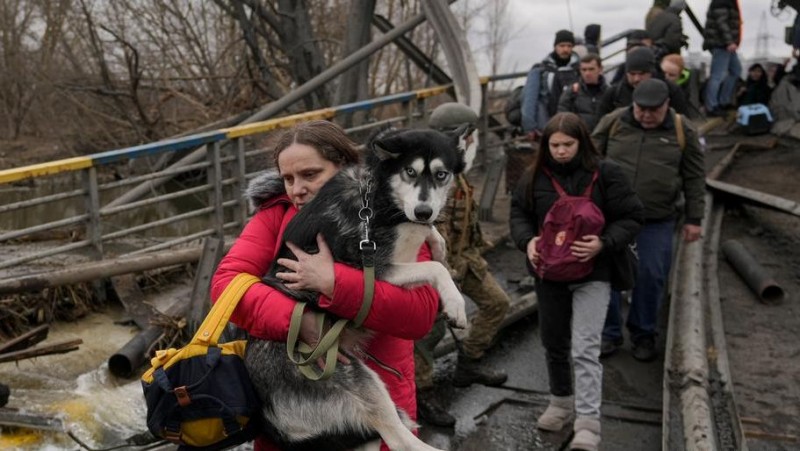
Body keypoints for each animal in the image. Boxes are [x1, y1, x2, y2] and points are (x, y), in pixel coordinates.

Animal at [244, 127, 468, 451]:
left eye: (442, 175)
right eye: (410, 171)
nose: (424, 211)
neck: (379, 195)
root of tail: (269, 418)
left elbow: (432, 248)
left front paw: (438, 244)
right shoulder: (376, 269)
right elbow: (434, 268)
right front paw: (455, 305)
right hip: (355, 378)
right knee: (401, 441)